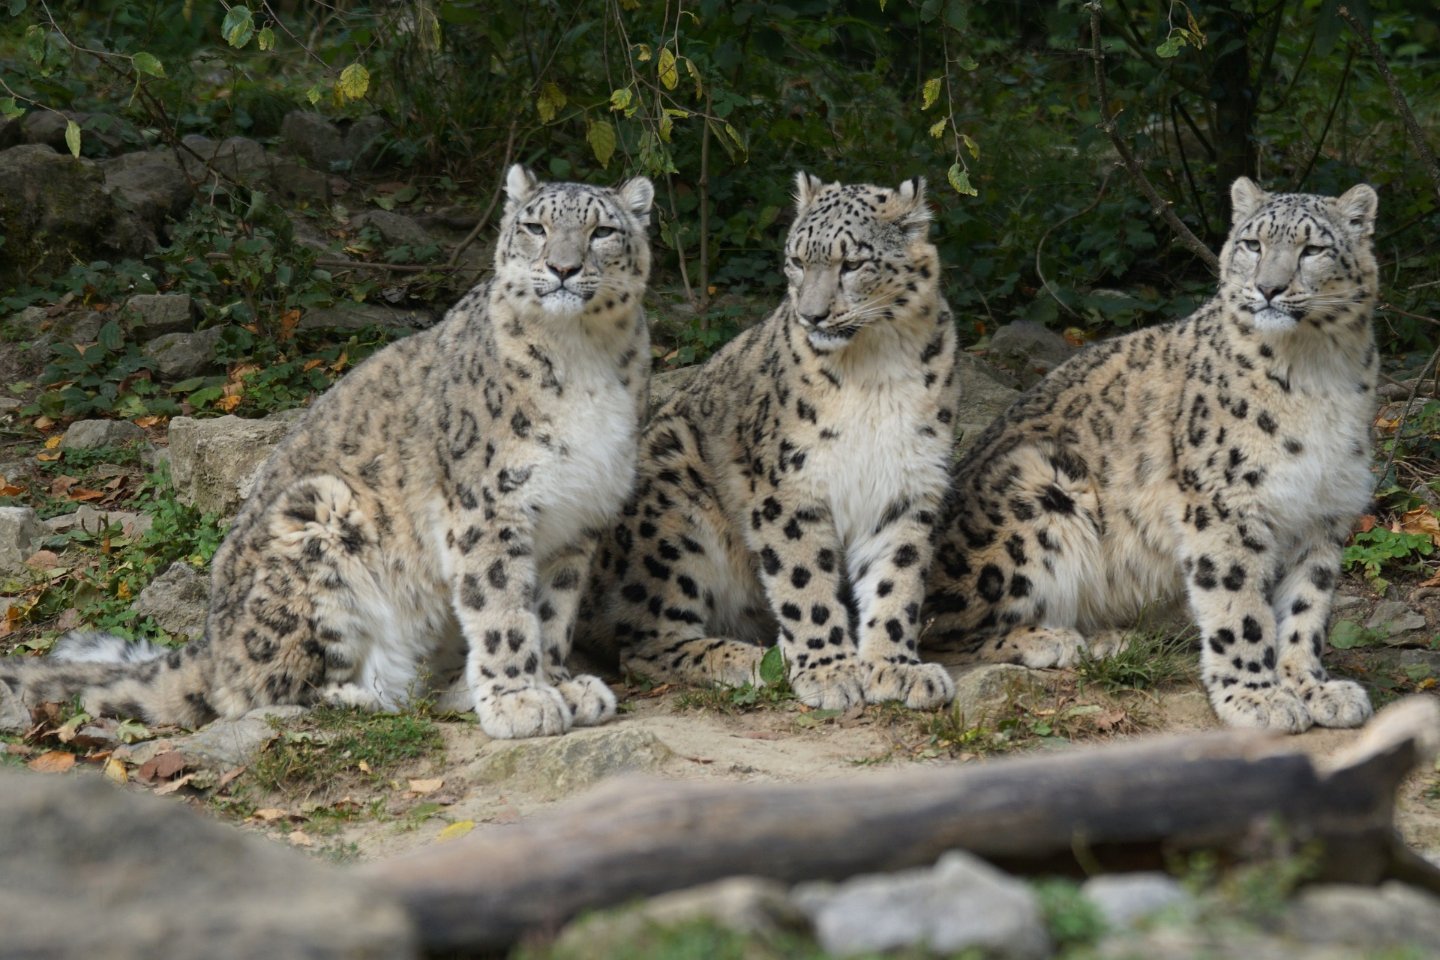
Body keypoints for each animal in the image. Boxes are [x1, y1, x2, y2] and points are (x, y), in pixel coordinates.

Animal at [2, 165, 656, 742]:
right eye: (536, 227)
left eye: (603, 231)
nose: (564, 267)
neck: (584, 357)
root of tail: (212, 644)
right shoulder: (489, 505)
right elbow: (502, 610)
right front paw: (522, 701)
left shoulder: (577, 517)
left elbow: (550, 614)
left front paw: (561, 685)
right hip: (318, 518)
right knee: (264, 692)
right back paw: (365, 696)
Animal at [578, 172, 961, 713]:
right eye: (797, 259)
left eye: (853, 263)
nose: (812, 315)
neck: (874, 366)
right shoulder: (791, 485)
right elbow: (805, 578)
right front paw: (829, 670)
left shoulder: (908, 482)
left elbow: (897, 577)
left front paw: (896, 667)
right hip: (671, 498)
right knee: (645, 642)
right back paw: (754, 660)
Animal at [927, 179, 1376, 731]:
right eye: (1253, 244)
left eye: (1312, 249)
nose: (1269, 288)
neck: (1317, 369)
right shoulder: (1224, 502)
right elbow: (1238, 605)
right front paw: (1257, 697)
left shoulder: (1324, 509)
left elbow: (1306, 608)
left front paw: (1314, 687)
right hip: (1038, 485)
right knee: (939, 626)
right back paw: (1052, 639)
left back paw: (1109, 639)